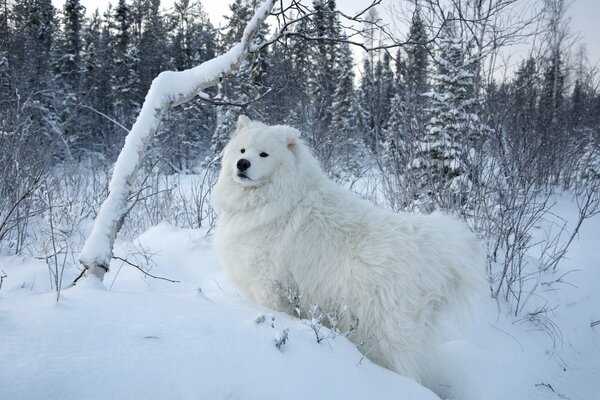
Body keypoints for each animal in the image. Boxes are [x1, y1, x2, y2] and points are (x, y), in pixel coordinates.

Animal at [213, 116, 486, 384]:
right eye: (242, 150)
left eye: (264, 154)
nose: (242, 164)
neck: (272, 198)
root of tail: (427, 246)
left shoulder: (268, 284)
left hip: (376, 326)